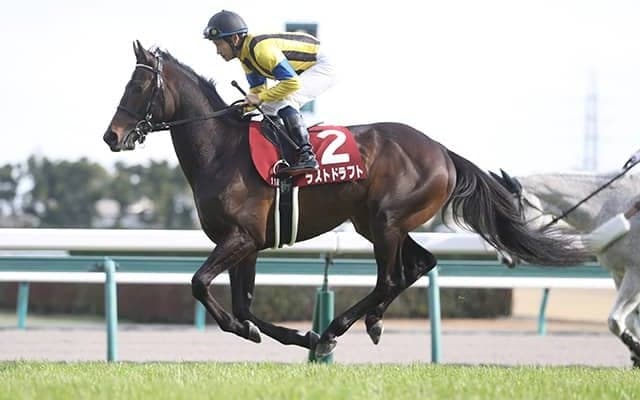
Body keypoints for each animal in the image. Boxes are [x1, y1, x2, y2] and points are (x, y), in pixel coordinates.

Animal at [103, 41, 590, 357]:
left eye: (137, 88)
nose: (112, 136)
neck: (222, 150)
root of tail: (442, 151)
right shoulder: (247, 243)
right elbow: (243, 305)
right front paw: (283, 335)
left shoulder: (240, 238)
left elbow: (200, 284)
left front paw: (296, 336)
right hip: (376, 222)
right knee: (420, 264)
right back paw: (367, 324)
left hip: (387, 220)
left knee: (391, 279)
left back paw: (336, 329)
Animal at [493, 169, 640, 366]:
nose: (505, 258)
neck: (613, 204)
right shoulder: (619, 274)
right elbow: (629, 320)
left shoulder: (635, 274)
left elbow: (615, 321)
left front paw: (636, 349)